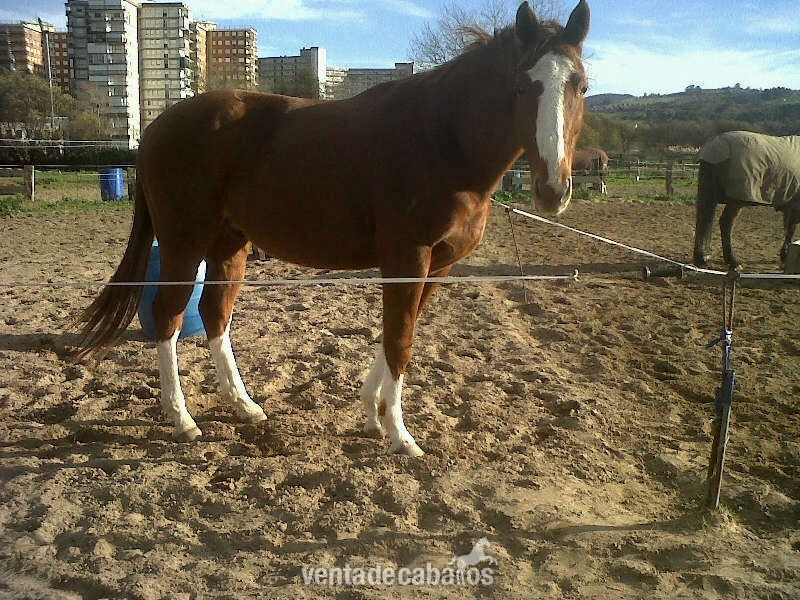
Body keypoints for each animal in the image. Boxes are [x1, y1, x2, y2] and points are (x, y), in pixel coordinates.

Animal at [72, 1, 590, 457]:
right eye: (523, 86)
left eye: (580, 86)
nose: (552, 190)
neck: (445, 140)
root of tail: (157, 127)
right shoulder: (408, 258)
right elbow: (399, 340)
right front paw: (400, 435)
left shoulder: (438, 265)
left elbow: (398, 333)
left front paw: (373, 412)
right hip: (183, 244)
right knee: (169, 317)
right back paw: (182, 419)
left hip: (229, 246)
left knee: (214, 316)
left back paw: (243, 406)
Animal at [693, 131, 800, 269]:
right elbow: (791, 229)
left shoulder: (790, 205)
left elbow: (789, 228)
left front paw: (784, 256)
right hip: (737, 200)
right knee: (726, 223)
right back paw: (733, 262)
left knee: (703, 220)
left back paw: (701, 259)